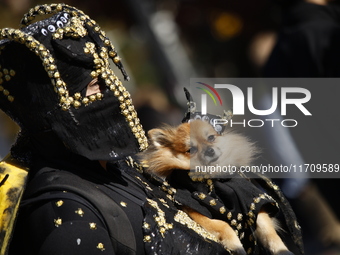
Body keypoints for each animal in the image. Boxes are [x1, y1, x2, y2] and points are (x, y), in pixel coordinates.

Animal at [139, 120, 294, 255]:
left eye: (211, 137)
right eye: (191, 150)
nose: (209, 151)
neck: (214, 177)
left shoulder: (251, 200)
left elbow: (268, 231)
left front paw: (283, 251)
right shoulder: (195, 206)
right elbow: (222, 225)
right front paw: (236, 245)